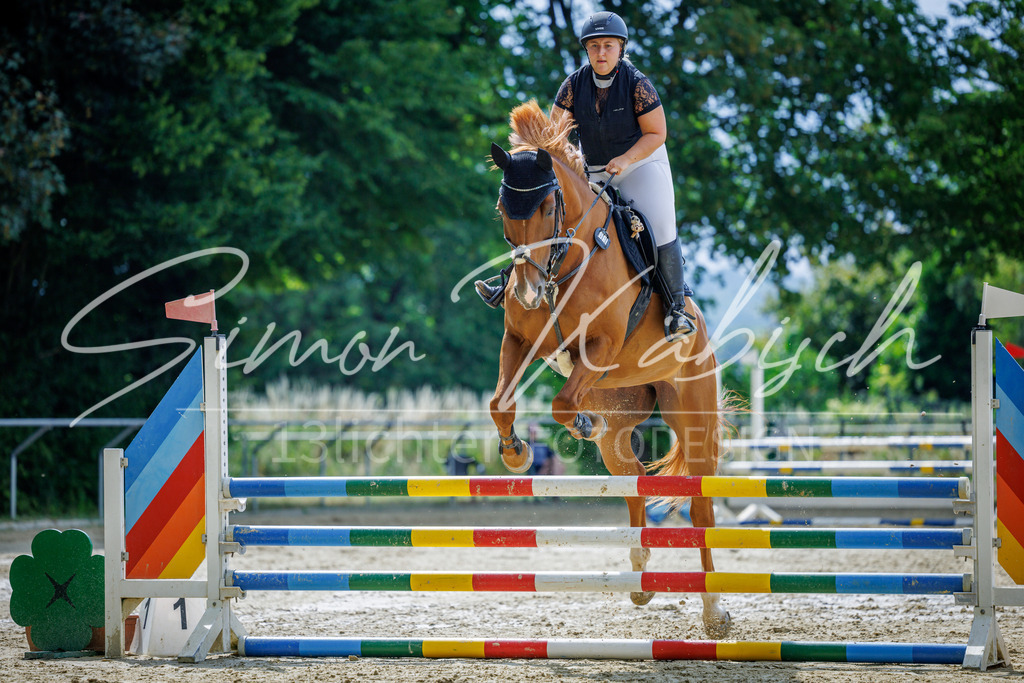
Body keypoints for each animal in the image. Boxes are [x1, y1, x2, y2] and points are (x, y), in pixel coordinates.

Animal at [486, 100, 729, 637]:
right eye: (502, 211)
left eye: (545, 208)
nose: (527, 293)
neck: (565, 262)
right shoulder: (519, 341)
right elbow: (499, 402)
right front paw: (515, 455)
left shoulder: (601, 347)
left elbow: (560, 403)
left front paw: (576, 423)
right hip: (619, 422)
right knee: (634, 481)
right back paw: (639, 581)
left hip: (694, 416)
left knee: (700, 506)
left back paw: (714, 613)